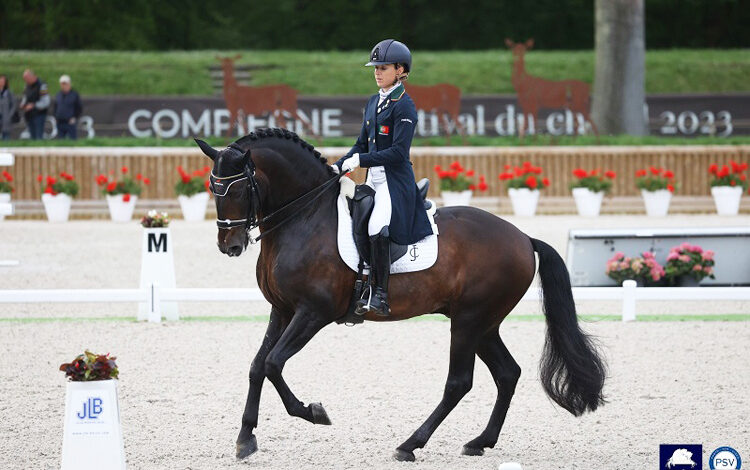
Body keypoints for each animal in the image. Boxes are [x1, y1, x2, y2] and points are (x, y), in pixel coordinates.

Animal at [194, 128, 606, 462]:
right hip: (483, 323)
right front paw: (245, 440)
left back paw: (410, 445)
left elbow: (273, 364)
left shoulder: (312, 313)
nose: (229, 246)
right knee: (507, 373)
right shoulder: (281, 311)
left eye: (238, 188)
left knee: (459, 382)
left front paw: (314, 412)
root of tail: (522, 237)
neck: (305, 218)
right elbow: (256, 366)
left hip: (470, 320)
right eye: (213, 188)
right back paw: (480, 442)